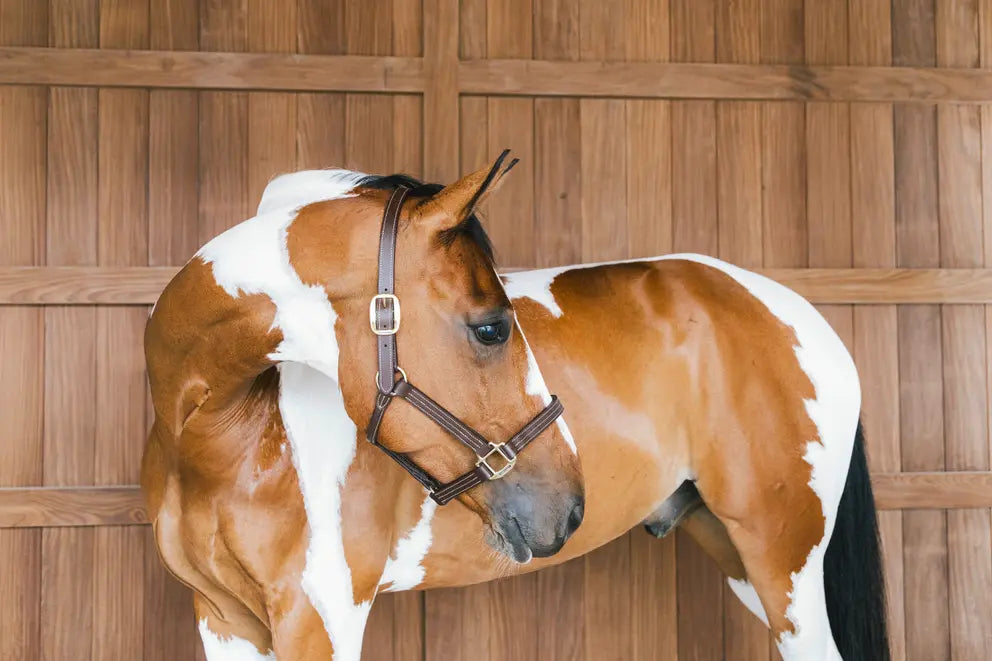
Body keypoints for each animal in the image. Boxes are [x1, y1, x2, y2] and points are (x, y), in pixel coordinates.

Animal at [141, 152, 892, 656]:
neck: (228, 430)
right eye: (491, 327)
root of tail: (802, 315)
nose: (569, 507)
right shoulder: (226, 620)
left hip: (784, 562)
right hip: (737, 554)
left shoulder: (319, 616)